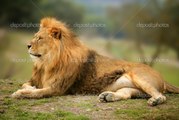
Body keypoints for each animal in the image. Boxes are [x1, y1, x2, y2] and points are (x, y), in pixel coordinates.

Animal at [11, 17, 179, 106]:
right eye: (35, 36)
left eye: (40, 38)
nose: (27, 45)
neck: (46, 62)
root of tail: (161, 76)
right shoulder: (38, 79)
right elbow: (27, 84)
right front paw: (29, 88)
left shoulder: (58, 88)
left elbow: (35, 93)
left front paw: (20, 93)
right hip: (133, 88)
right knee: (128, 93)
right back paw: (108, 96)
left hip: (139, 76)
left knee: (161, 95)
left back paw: (155, 100)